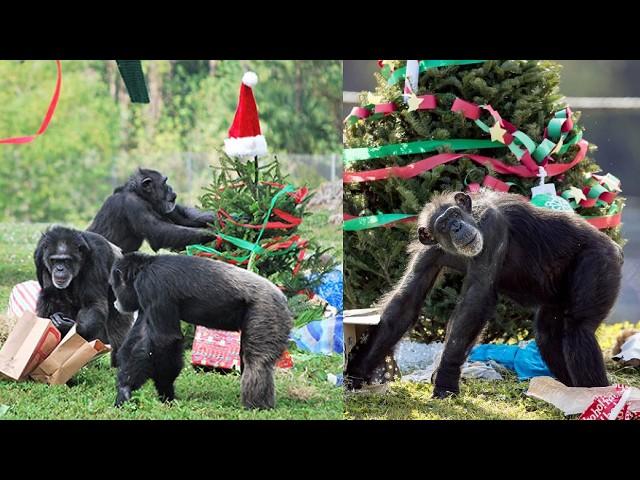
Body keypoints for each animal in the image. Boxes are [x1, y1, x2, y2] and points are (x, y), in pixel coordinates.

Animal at [34, 227, 134, 366]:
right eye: (54, 260)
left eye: (66, 260)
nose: (59, 269)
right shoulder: (40, 257)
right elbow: (52, 297)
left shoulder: (97, 258)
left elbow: (93, 303)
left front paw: (71, 327)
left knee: (117, 328)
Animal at [87, 168, 218, 253]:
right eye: (164, 183)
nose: (170, 188)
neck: (139, 194)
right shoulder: (134, 205)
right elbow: (160, 231)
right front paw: (211, 233)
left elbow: (183, 220)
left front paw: (216, 218)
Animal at [108, 251, 292, 408]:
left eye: (114, 285)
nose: (116, 301)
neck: (143, 269)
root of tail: (283, 298)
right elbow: (143, 336)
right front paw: (126, 385)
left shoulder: (151, 286)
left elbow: (165, 340)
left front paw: (161, 390)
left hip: (266, 311)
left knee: (257, 361)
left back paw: (257, 406)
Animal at [348, 190, 624, 398]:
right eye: (443, 225)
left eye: (455, 214)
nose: (456, 226)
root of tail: (615, 248)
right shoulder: (427, 253)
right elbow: (406, 302)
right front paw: (356, 373)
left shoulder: (491, 227)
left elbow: (476, 298)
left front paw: (446, 379)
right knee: (547, 332)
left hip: (600, 260)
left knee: (578, 328)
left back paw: (595, 396)